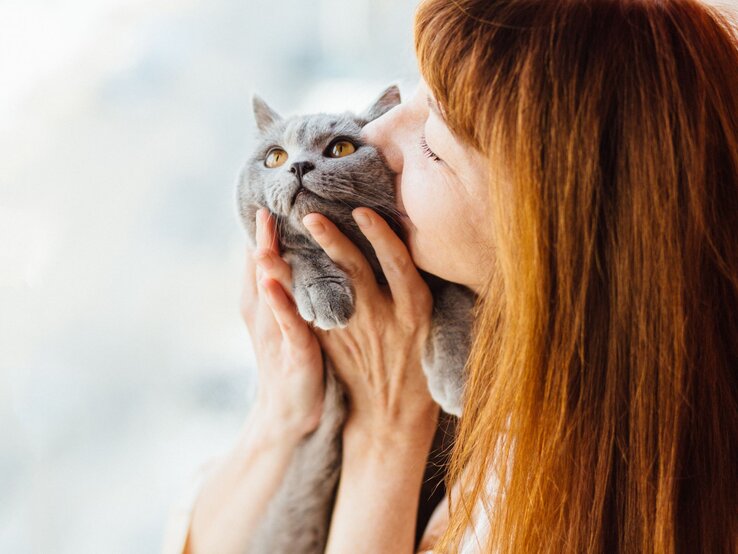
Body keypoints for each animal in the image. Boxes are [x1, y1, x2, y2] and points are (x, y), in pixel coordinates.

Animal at [239, 84, 474, 548]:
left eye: (340, 148)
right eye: (274, 156)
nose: (297, 165)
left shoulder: (433, 271)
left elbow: (452, 295)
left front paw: (452, 375)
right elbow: (296, 249)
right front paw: (324, 292)